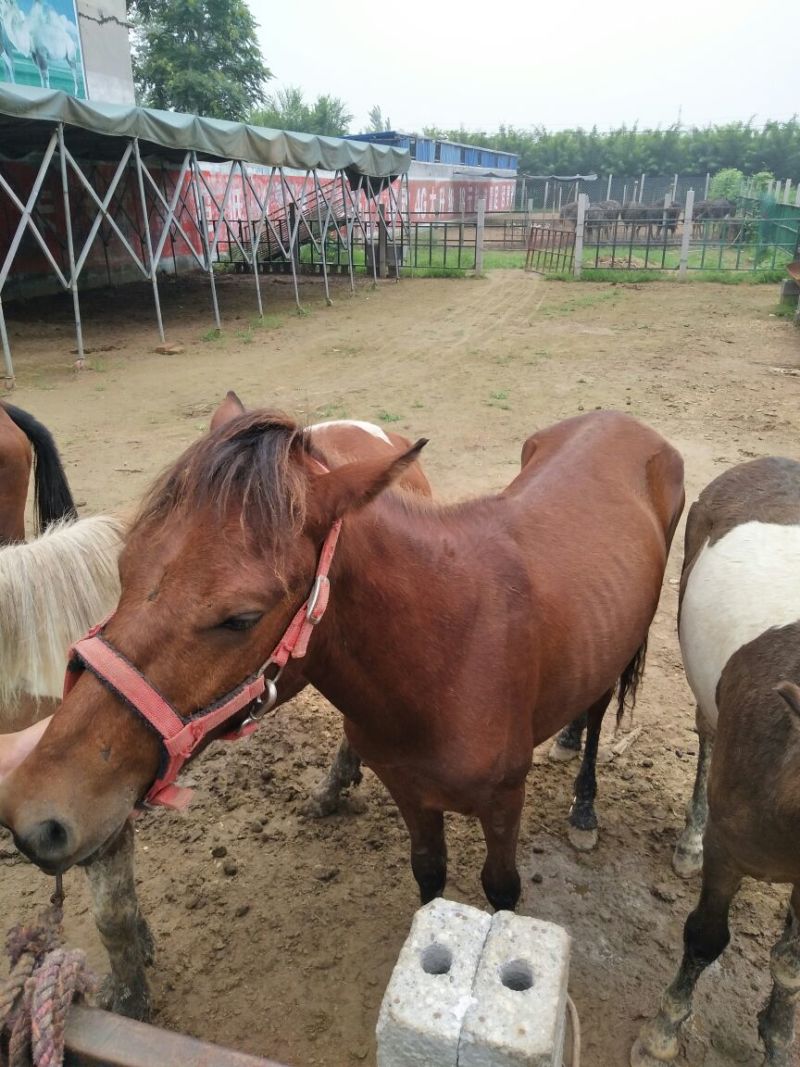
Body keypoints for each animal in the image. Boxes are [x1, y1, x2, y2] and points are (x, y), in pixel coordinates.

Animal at [632, 457, 800, 1067]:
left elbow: (790, 964)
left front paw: (777, 1036)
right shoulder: (730, 849)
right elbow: (706, 937)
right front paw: (663, 1028)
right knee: (706, 735)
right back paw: (689, 841)